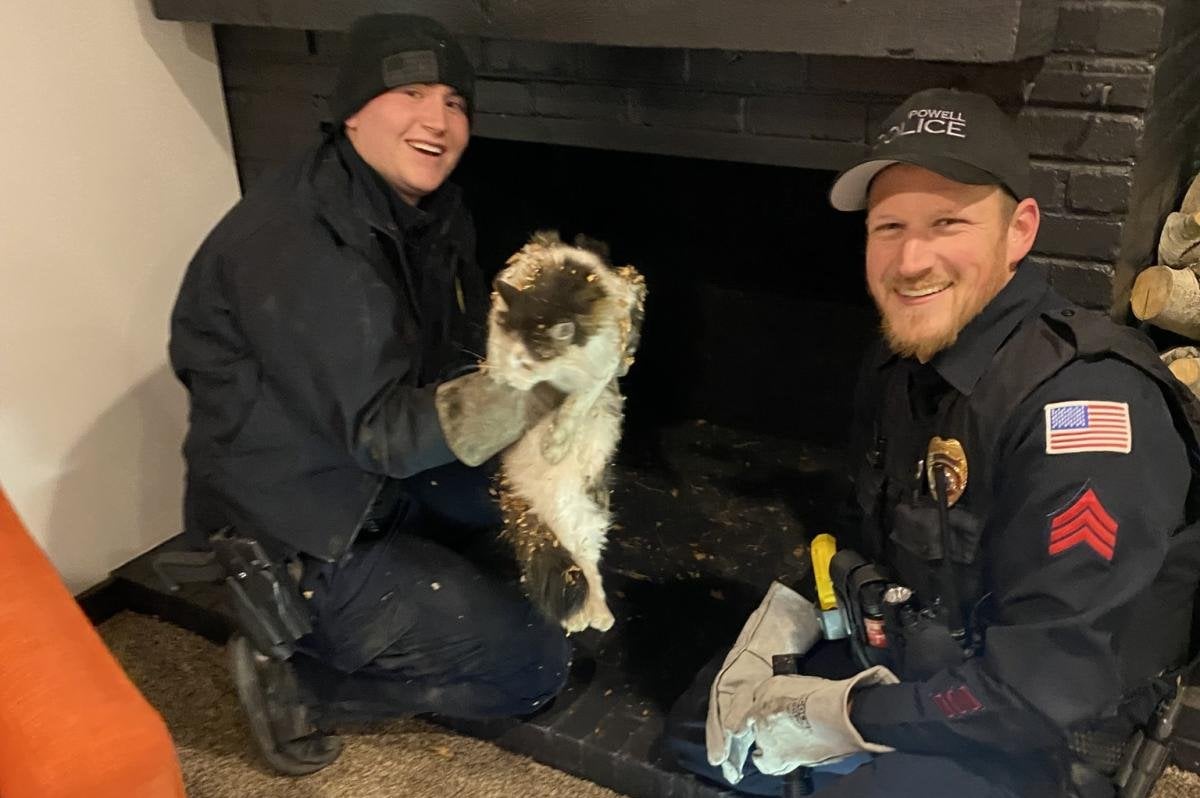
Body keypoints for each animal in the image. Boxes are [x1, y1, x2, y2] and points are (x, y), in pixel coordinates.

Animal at [484, 231, 648, 633]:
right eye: (513, 355)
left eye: (529, 362)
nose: (508, 381)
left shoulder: (602, 361)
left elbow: (581, 399)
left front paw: (556, 441)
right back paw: (582, 616)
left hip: (586, 515)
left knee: (588, 565)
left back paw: (596, 615)